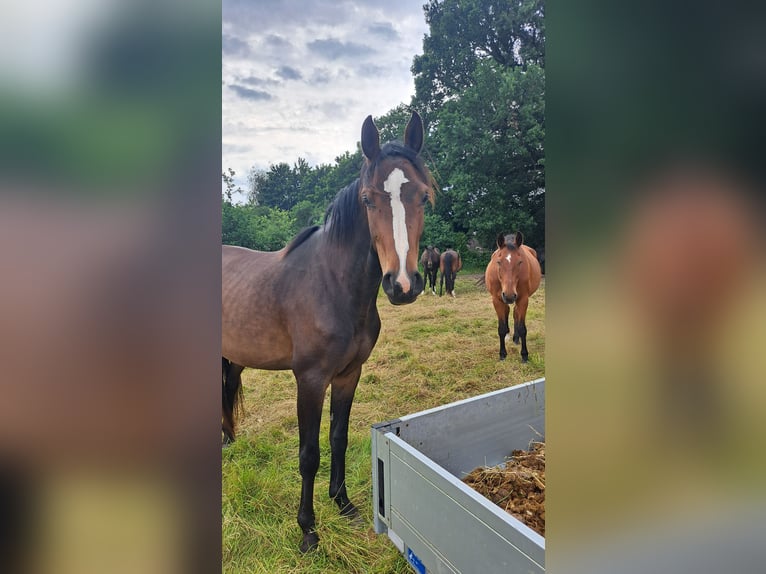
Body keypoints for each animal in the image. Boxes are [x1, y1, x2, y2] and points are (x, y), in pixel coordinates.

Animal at [225, 112, 436, 552]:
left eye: (423, 197)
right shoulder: (310, 379)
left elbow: (338, 436)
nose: (402, 285)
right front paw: (308, 529)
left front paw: (343, 504)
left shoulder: (348, 374)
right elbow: (309, 453)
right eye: (368, 199)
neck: (332, 286)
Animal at [488, 232, 544, 362]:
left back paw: (516, 338)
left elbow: (522, 328)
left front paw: (524, 354)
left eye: (519, 262)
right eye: (498, 262)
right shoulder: (497, 300)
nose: (509, 296)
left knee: (515, 313)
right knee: (509, 311)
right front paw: (502, 354)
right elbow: (501, 328)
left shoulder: (523, 299)